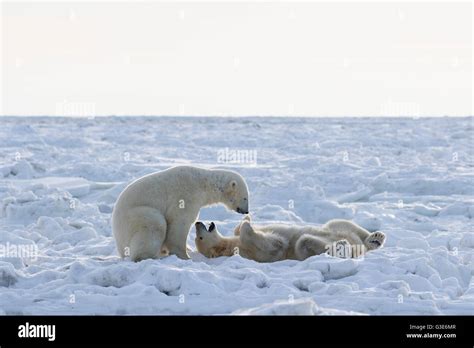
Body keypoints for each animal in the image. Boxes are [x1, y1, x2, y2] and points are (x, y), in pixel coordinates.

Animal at [112, 166, 250, 260]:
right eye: (245, 198)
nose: (246, 211)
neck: (203, 184)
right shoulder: (186, 197)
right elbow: (179, 223)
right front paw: (185, 255)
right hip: (134, 217)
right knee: (155, 223)